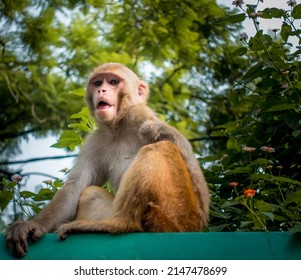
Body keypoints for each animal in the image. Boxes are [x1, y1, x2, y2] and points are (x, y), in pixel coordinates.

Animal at [5, 62, 210, 258]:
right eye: (98, 83)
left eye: (113, 82)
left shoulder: (141, 115)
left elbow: (192, 171)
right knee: (90, 192)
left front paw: (159, 131)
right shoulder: (96, 141)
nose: (101, 90)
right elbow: (75, 188)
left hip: (177, 215)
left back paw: (120, 224)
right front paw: (33, 225)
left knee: (160, 148)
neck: (119, 127)